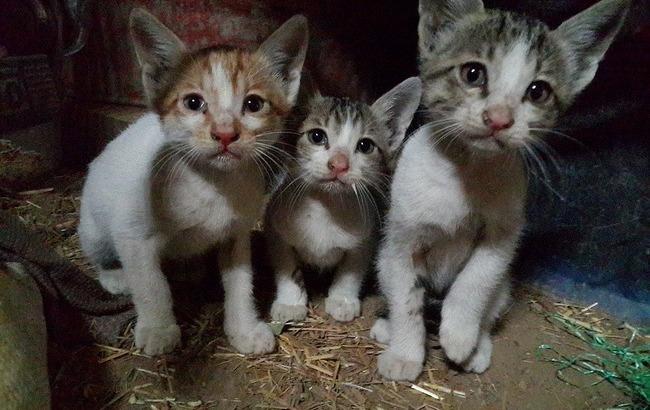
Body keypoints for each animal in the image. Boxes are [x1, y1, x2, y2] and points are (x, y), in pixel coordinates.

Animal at [78, 9, 308, 355]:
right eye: (193, 103)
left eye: (254, 104)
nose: (225, 133)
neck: (212, 185)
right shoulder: (132, 234)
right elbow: (151, 284)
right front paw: (158, 328)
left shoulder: (236, 233)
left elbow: (241, 283)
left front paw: (243, 328)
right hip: (94, 226)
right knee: (101, 256)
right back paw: (116, 277)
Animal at [265, 78, 421, 323]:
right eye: (317, 136)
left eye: (365, 146)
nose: (339, 164)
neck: (325, 207)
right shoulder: (276, 229)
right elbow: (287, 268)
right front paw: (290, 302)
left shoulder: (366, 237)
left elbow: (351, 270)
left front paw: (342, 299)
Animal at [370, 0, 630, 380]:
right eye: (473, 73)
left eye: (538, 91)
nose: (499, 119)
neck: (466, 172)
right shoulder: (401, 240)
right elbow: (405, 299)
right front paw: (405, 353)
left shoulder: (504, 235)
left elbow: (475, 282)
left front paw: (460, 335)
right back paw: (388, 328)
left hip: (504, 288)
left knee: (492, 304)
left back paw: (478, 344)